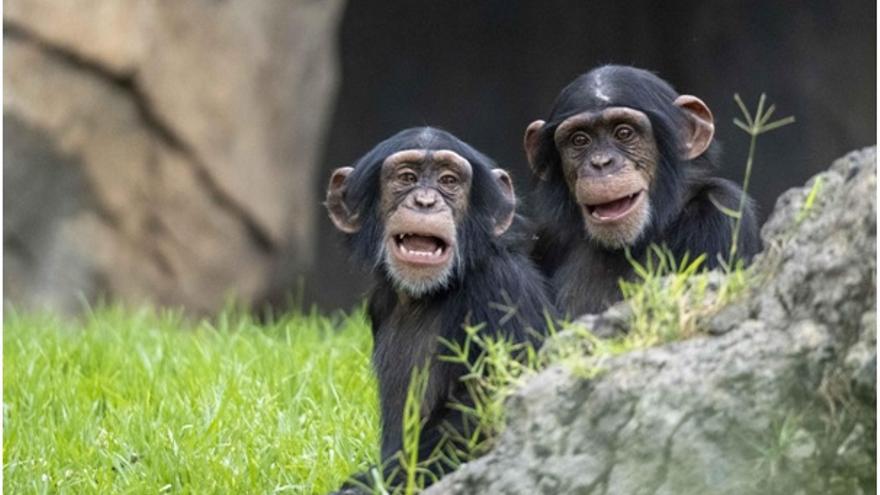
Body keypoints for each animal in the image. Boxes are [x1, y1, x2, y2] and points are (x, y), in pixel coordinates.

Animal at [326, 127, 552, 492]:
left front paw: (364, 484)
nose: (425, 201)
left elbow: (488, 408)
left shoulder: (502, 290)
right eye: (407, 177)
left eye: (449, 181)